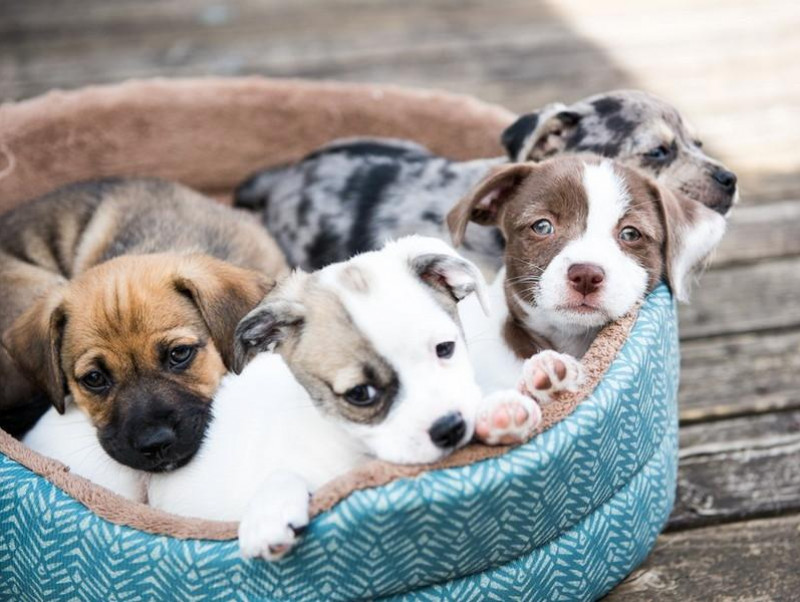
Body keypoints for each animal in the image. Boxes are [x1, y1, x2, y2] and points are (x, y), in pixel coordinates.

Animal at [147, 234, 490, 556]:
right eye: (360, 393)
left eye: (445, 348)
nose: (451, 428)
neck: (352, 446)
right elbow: (284, 475)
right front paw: (269, 512)